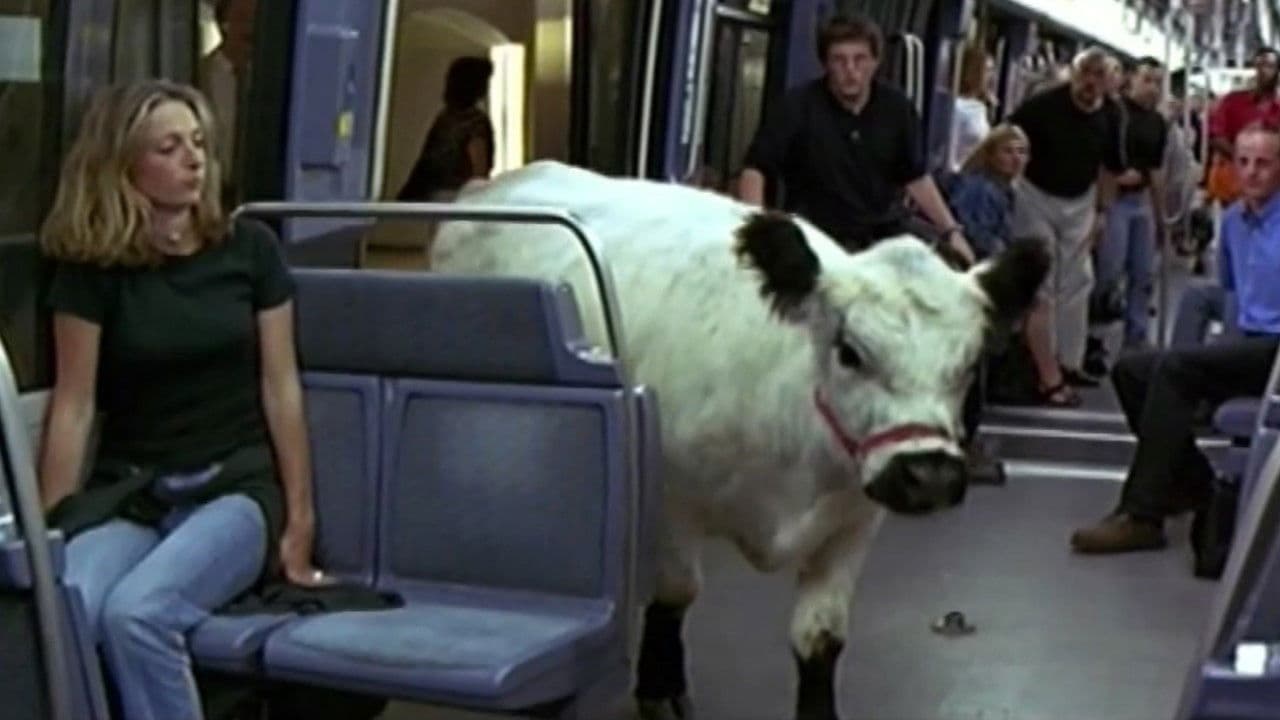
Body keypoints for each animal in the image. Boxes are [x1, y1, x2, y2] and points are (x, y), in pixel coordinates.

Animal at [429, 161, 1049, 720]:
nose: (931, 476)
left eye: (968, 363)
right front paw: (659, 686)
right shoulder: (673, 500)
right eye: (850, 351)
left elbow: (821, 637)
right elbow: (677, 591)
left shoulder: (855, 520)